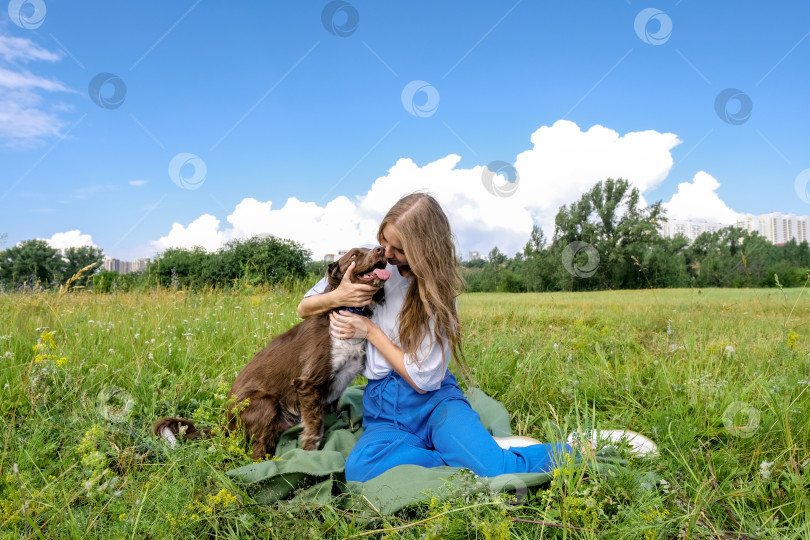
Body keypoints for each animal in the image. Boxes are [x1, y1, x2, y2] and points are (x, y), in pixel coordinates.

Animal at [155, 247, 392, 458]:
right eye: (354, 254)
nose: (381, 249)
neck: (347, 312)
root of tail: (224, 424)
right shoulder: (309, 382)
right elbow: (315, 427)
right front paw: (309, 455)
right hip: (265, 402)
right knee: (256, 451)